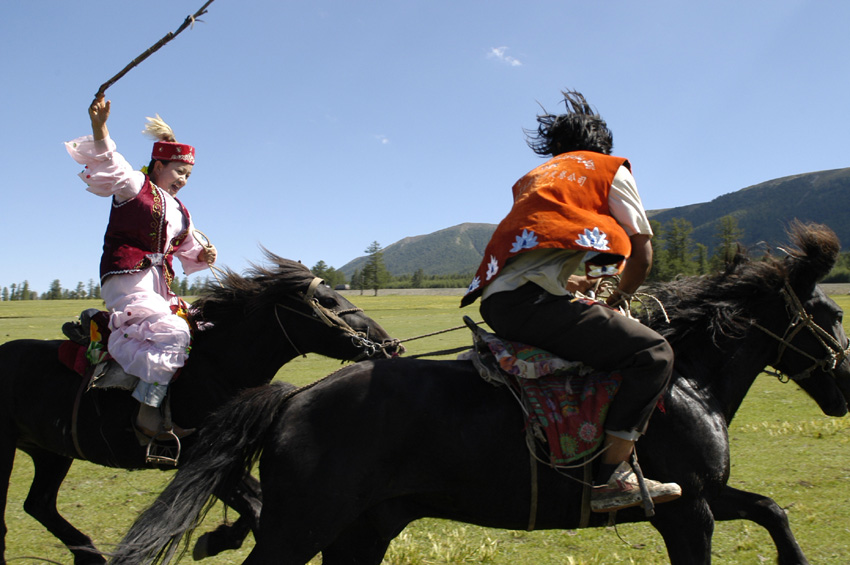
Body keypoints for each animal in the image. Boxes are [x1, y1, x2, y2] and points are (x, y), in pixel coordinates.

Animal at [0, 251, 399, 565]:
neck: (219, 365)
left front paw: (217, 539)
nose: (388, 343)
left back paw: (89, 555)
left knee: (39, 505)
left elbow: (259, 504)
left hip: (50, 453)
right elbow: (257, 506)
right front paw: (216, 540)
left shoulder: (226, 459)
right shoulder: (204, 458)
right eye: (328, 302)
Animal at [111, 222, 850, 565]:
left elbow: (773, 509)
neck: (689, 379)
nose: (845, 387)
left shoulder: (703, 498)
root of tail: (295, 399)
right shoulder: (687, 510)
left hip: (362, 528)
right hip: (302, 528)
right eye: (831, 314)